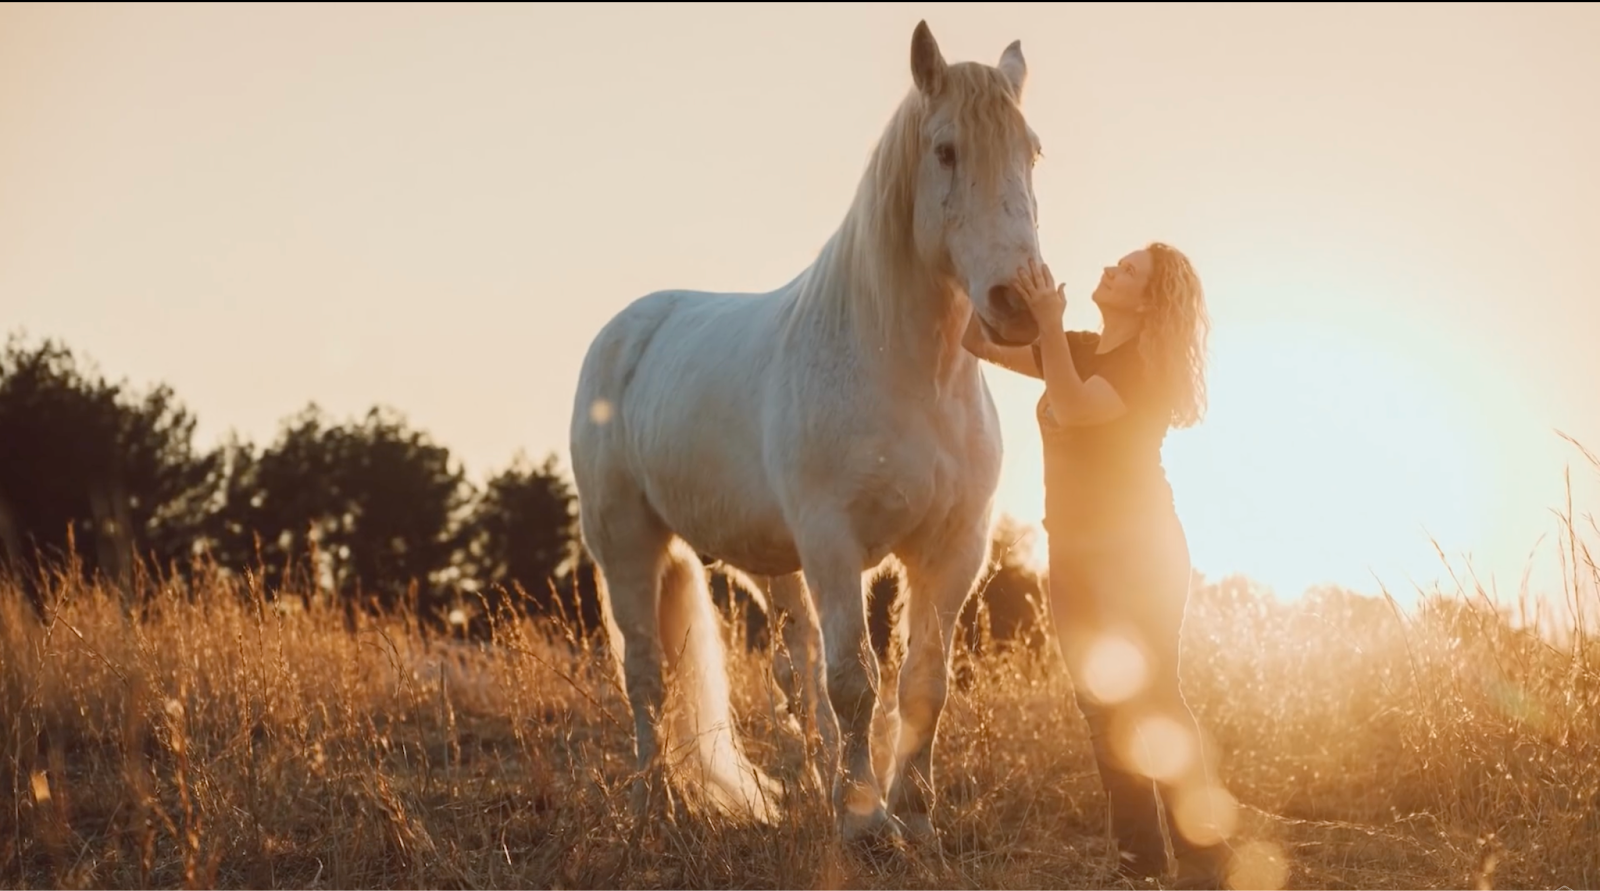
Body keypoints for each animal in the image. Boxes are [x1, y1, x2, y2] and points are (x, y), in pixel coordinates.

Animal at [567, 19, 1045, 845]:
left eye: (1033, 151)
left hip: (776, 566)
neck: (909, 373)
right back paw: (654, 805)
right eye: (946, 150)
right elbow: (856, 681)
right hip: (628, 543)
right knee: (648, 677)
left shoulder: (953, 548)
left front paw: (913, 813)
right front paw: (866, 823)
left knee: (795, 669)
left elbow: (922, 682)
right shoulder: (834, 541)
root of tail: (628, 328)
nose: (1022, 301)